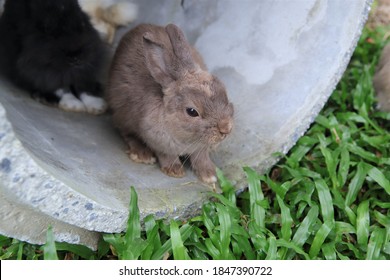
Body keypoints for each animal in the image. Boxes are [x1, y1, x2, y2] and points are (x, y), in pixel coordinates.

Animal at [106, 23, 233, 183]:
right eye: (192, 112)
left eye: (224, 93)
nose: (226, 129)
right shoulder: (157, 141)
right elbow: (167, 155)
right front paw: (175, 171)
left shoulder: (200, 148)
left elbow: (201, 157)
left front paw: (210, 175)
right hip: (122, 114)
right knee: (126, 132)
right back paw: (142, 155)